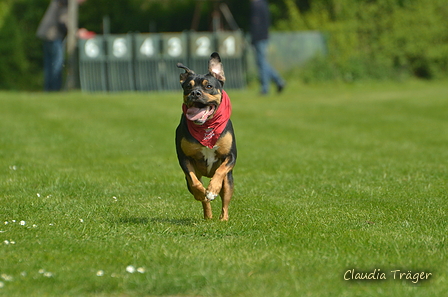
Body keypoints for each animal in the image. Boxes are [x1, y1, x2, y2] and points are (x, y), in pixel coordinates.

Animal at [176, 52, 236, 220]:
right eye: (188, 86)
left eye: (209, 86)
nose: (195, 93)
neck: (206, 126)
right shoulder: (184, 158)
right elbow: (194, 182)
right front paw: (201, 193)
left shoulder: (231, 156)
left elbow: (220, 170)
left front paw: (212, 189)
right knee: (202, 196)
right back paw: (208, 215)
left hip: (229, 180)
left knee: (225, 200)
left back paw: (223, 219)